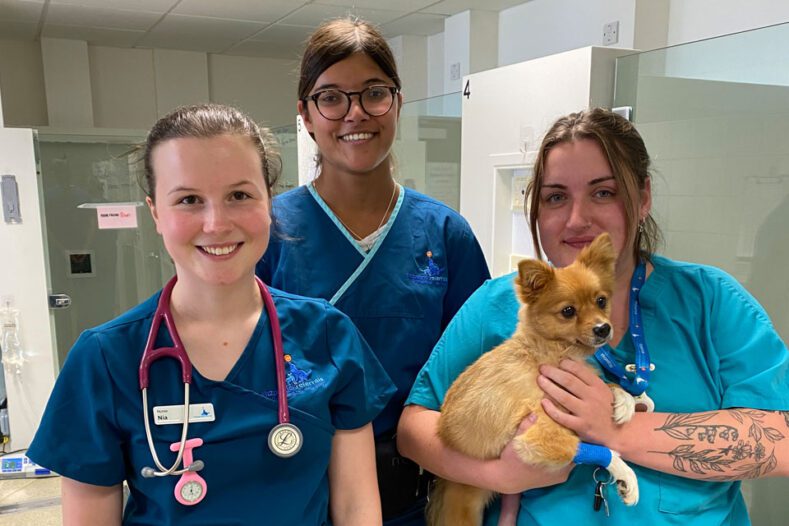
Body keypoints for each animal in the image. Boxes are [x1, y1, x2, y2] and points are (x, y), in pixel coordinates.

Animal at [428, 235, 636, 526]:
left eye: (601, 301)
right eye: (568, 311)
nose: (603, 328)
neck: (546, 352)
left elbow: (607, 384)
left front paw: (627, 401)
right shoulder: (539, 436)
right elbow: (586, 447)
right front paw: (625, 472)